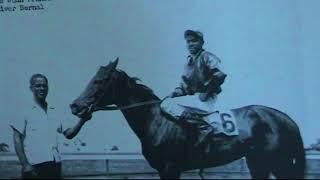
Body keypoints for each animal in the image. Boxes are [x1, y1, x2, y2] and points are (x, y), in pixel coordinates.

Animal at [69, 58, 304, 179]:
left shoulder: (170, 169)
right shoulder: (163, 170)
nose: (75, 106)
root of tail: (287, 119)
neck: (156, 122)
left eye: (99, 81)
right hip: (258, 163)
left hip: (278, 163)